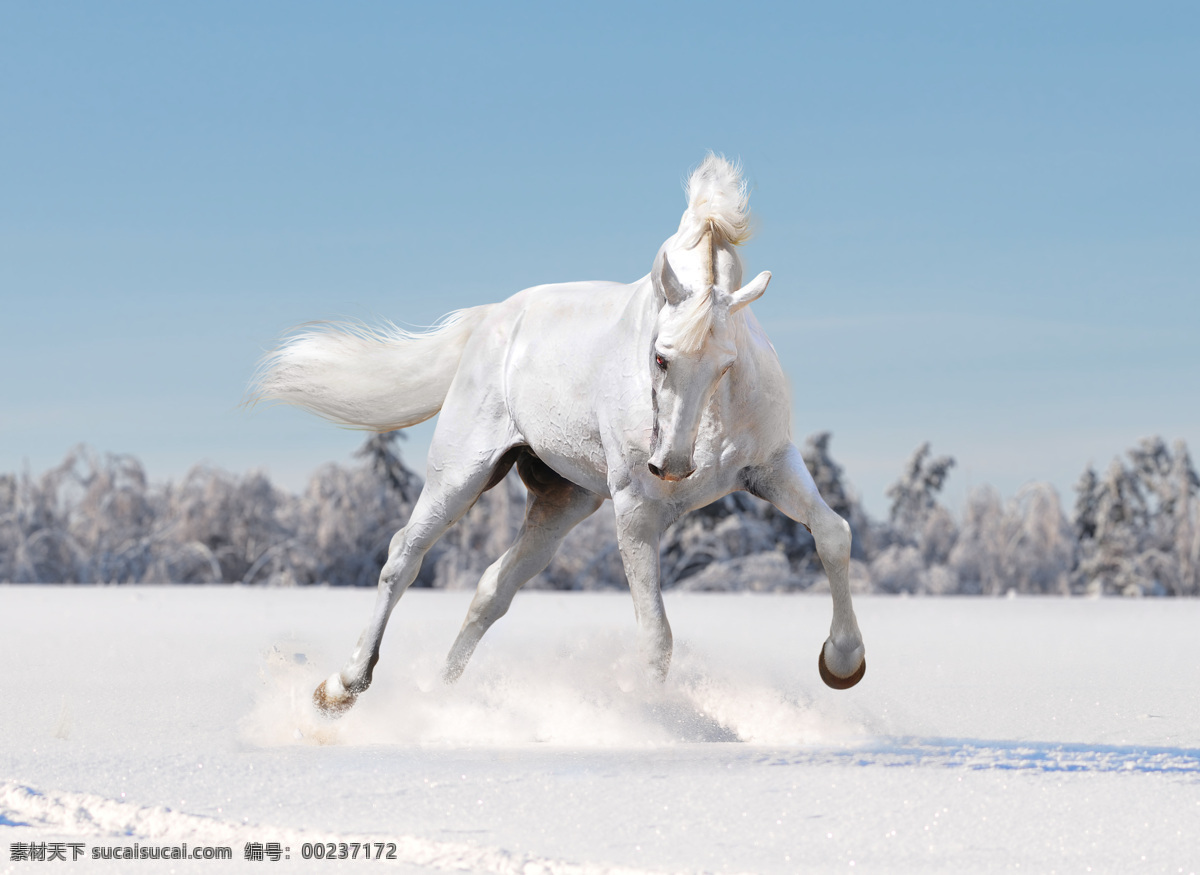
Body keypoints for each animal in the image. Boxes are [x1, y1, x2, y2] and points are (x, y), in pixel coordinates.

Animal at [251, 154, 866, 716]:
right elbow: (656, 636)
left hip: (563, 502)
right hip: (460, 476)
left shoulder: (773, 468)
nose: (671, 466)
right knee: (404, 556)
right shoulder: (637, 510)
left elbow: (833, 533)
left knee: (492, 589)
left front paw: (842, 663)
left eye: (726, 365)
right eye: (660, 357)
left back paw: (442, 696)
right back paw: (342, 686)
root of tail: (493, 319)